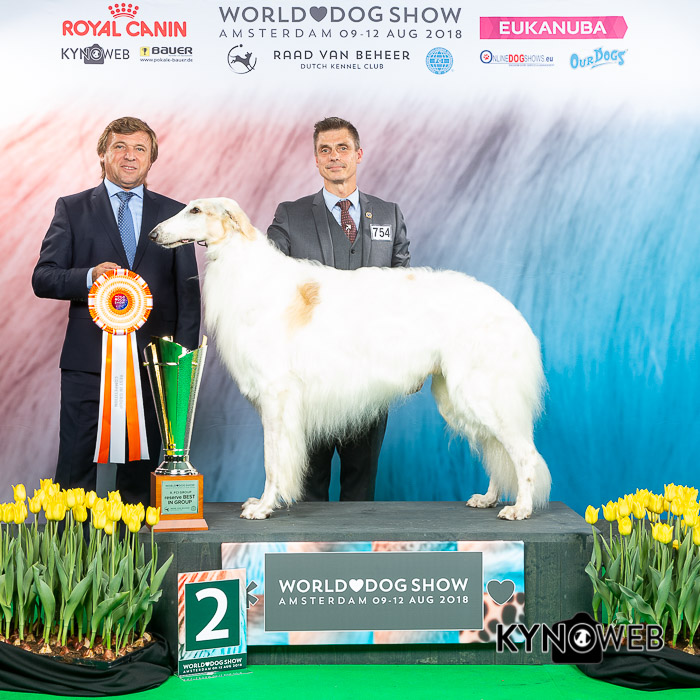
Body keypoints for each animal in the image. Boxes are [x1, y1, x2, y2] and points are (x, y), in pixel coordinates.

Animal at [150, 198, 551, 520]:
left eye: (194, 210)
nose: (153, 234)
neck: (247, 271)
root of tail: (509, 310)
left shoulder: (276, 396)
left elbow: (273, 461)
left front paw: (264, 506)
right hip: (460, 397)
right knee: (497, 452)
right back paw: (489, 498)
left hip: (480, 393)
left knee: (524, 454)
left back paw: (521, 508)